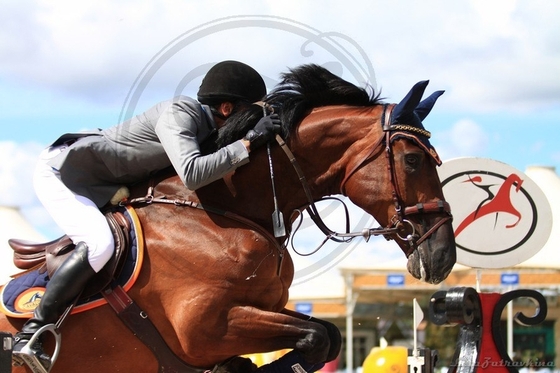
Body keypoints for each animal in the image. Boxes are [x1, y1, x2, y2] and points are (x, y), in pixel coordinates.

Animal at [1, 64, 456, 370]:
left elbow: (326, 335)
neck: (223, 214)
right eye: (413, 160)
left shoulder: (263, 309)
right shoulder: (207, 328)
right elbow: (317, 337)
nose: (443, 257)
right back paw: (30, 344)